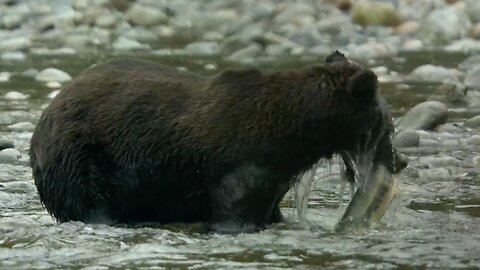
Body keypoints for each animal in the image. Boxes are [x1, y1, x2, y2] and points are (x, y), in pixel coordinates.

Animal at [29, 51, 404, 233]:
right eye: (387, 125)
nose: (401, 161)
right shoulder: (236, 168)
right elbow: (234, 213)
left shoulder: (271, 177)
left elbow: (271, 210)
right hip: (82, 157)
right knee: (91, 201)